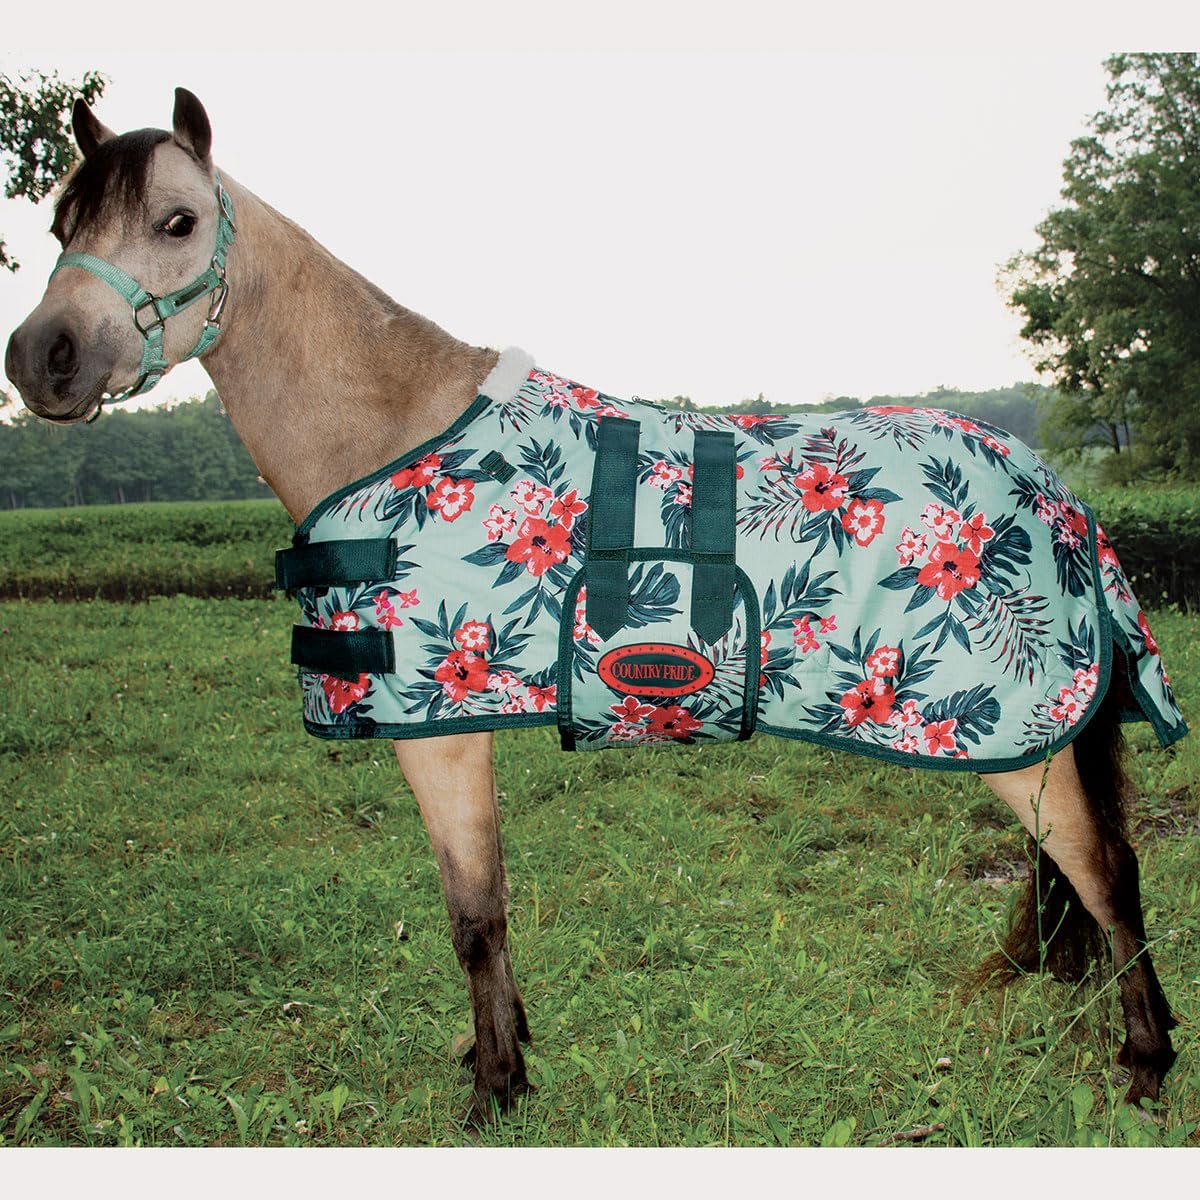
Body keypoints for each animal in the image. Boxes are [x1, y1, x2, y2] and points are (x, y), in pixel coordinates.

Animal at [4, 89, 1184, 1125]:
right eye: (59, 221)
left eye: (177, 221)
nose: (42, 359)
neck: (394, 425)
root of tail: (1056, 489)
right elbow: (484, 909)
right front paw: (506, 1052)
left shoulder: (440, 736)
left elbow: (473, 915)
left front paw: (496, 1088)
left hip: (1021, 741)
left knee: (1107, 872)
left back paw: (1146, 1064)